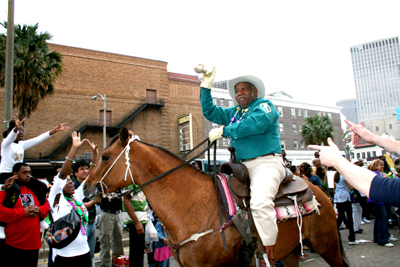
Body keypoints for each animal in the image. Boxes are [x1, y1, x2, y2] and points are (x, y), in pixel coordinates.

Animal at [85, 129, 350, 266]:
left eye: (105, 156)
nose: (87, 187)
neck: (189, 204)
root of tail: (319, 193)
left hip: (327, 246)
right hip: (293, 249)